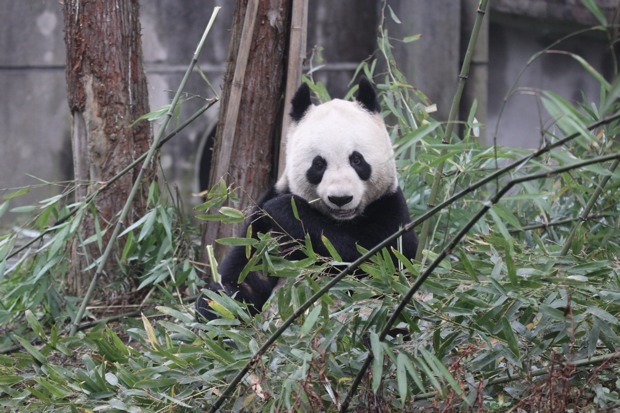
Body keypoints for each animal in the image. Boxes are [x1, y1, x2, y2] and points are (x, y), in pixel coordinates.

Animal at [196, 77, 418, 320]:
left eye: (357, 160)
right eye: (318, 164)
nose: (341, 198)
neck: (342, 221)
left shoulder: (389, 209)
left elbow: (373, 262)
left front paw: (284, 209)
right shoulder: (263, 224)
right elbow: (247, 273)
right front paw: (216, 306)